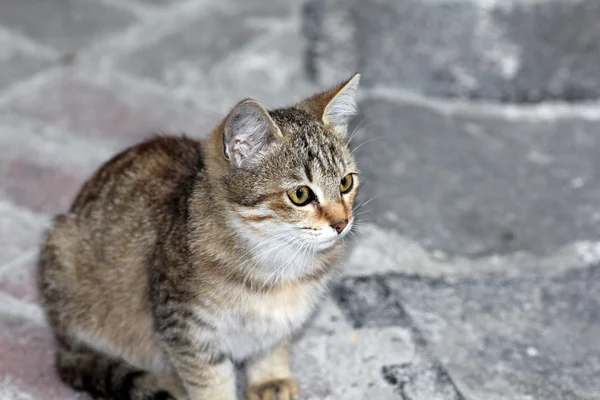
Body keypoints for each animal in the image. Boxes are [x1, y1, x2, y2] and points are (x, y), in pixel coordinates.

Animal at [39, 72, 364, 400]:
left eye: (346, 183)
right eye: (300, 195)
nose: (342, 222)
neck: (279, 264)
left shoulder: (280, 322)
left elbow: (271, 347)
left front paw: (270, 379)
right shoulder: (186, 328)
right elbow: (210, 382)